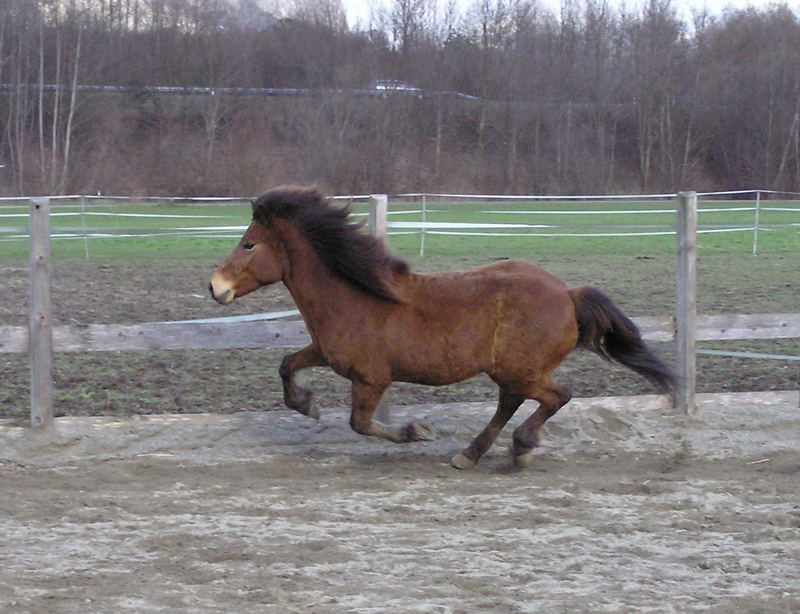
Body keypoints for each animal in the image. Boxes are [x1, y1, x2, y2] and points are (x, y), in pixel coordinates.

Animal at [211, 185, 676, 470]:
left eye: (249, 243)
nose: (215, 286)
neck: (356, 297)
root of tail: (567, 293)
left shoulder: (371, 378)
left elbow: (360, 424)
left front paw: (417, 430)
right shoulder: (326, 352)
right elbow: (287, 364)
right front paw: (306, 404)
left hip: (522, 370)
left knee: (556, 396)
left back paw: (520, 448)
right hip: (512, 371)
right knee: (512, 403)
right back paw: (471, 454)